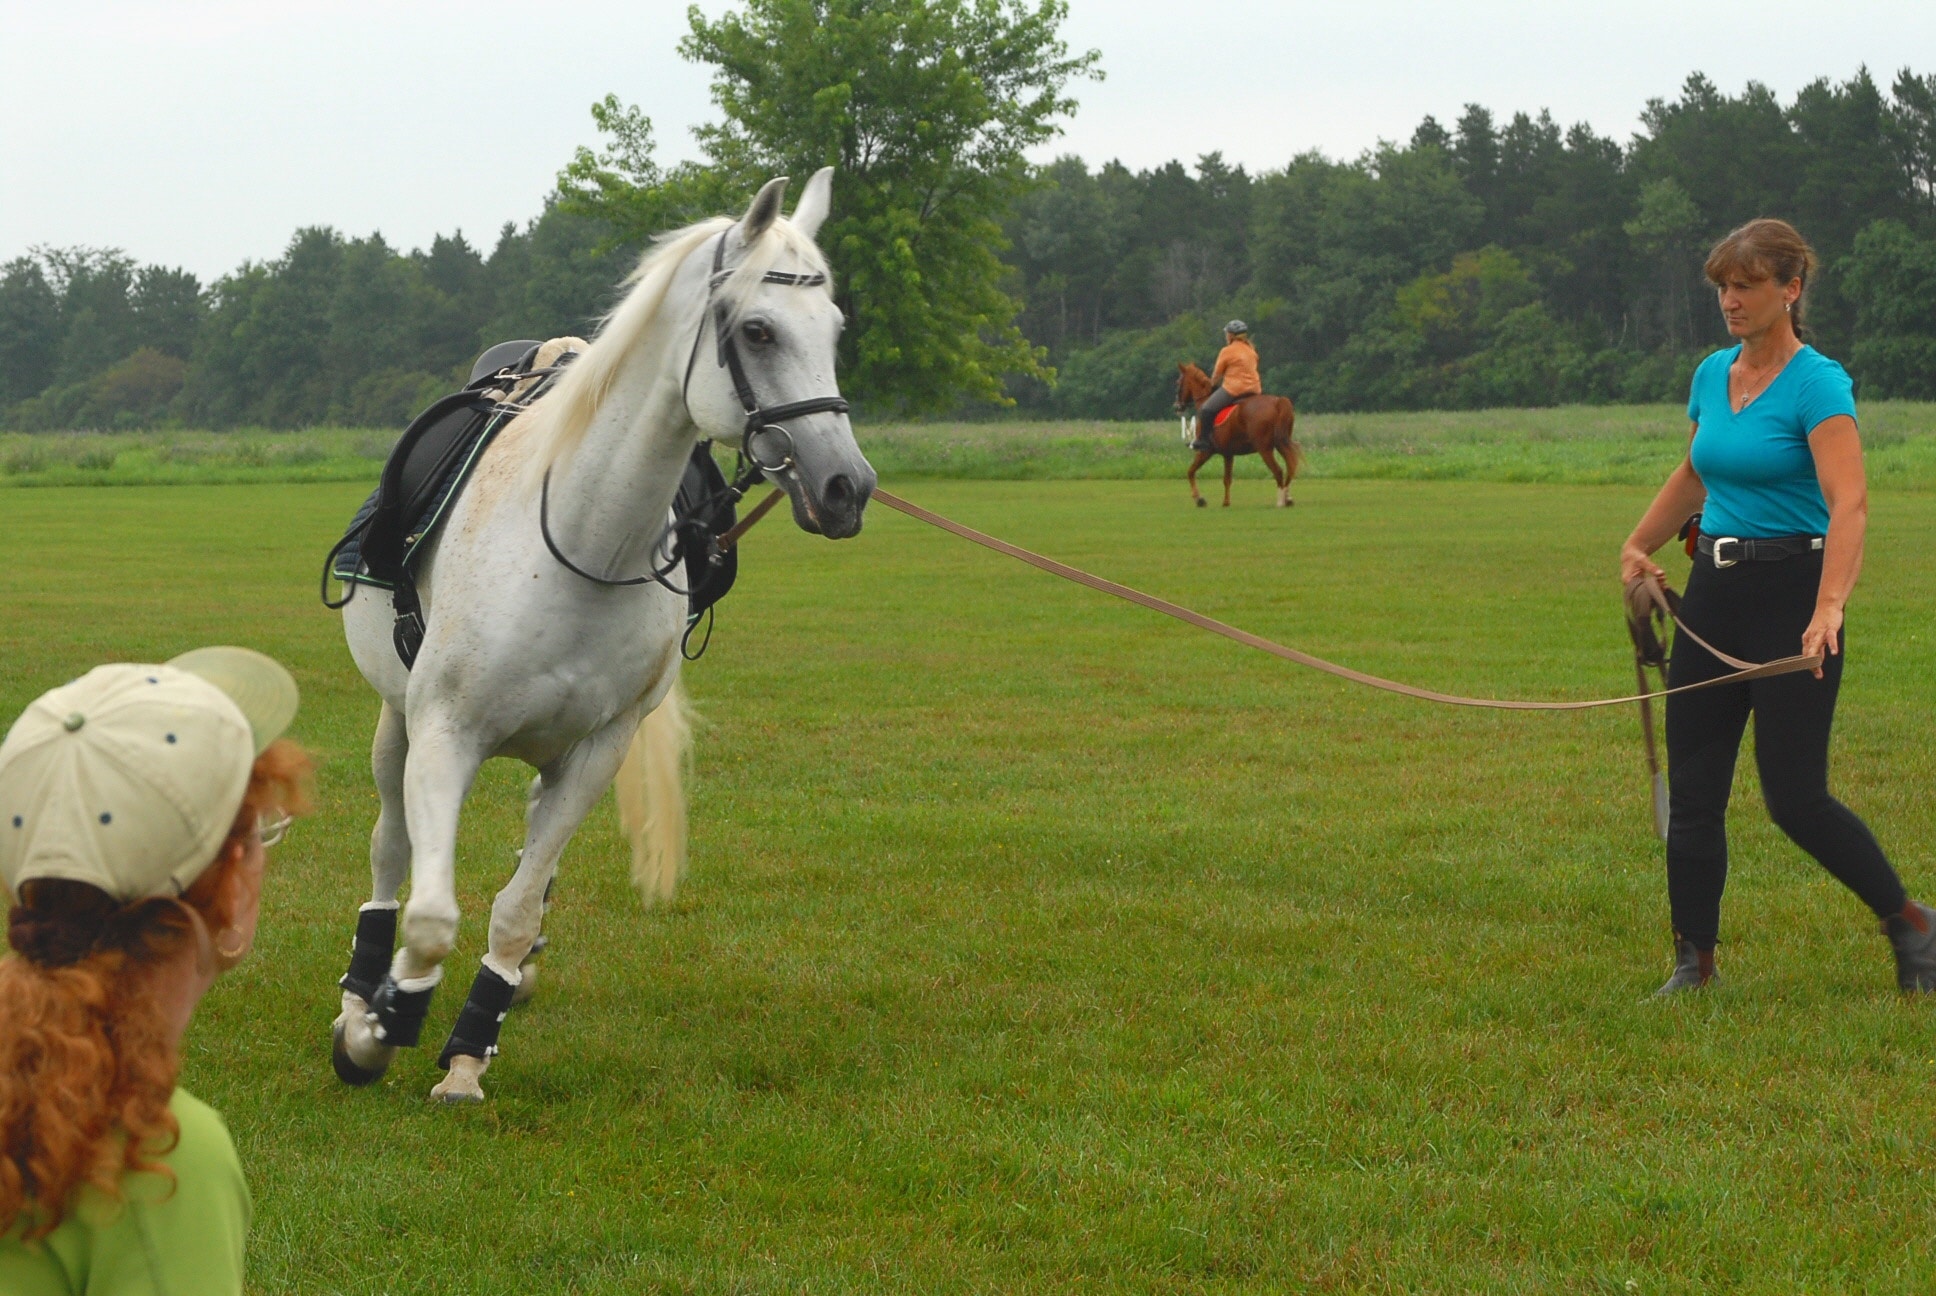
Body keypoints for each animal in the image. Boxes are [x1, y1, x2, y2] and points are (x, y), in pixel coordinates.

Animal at [332, 169, 878, 1100]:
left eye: (835, 328)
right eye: (758, 329)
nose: (847, 486)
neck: (581, 542)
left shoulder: (595, 752)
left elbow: (515, 911)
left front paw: (468, 1052)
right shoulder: (445, 734)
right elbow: (432, 912)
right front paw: (377, 1030)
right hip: (395, 722)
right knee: (390, 850)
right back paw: (361, 991)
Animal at [1161, 364, 1300, 511]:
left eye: (1178, 382)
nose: (1177, 406)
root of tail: (1278, 401)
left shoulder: (1205, 451)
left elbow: (1190, 472)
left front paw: (1199, 499)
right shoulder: (1228, 454)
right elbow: (1227, 479)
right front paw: (1226, 502)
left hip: (1265, 449)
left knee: (1278, 471)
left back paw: (1280, 502)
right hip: (1281, 444)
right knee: (1290, 467)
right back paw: (1288, 499)